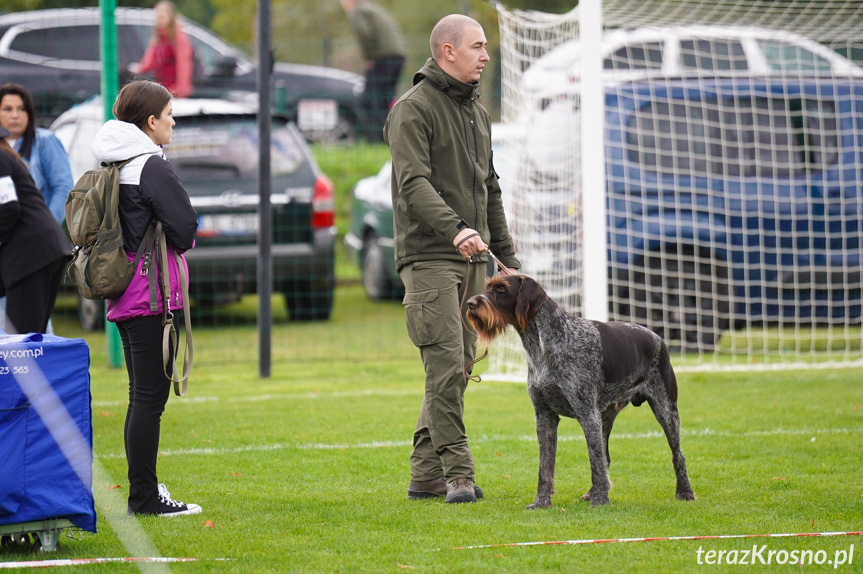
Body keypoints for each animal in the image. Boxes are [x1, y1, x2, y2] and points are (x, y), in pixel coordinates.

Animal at [466, 276, 696, 510]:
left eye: (502, 288)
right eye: (488, 286)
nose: (470, 303)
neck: (544, 345)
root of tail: (658, 338)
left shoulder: (587, 414)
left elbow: (594, 461)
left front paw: (601, 500)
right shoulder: (544, 416)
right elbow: (545, 467)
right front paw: (541, 502)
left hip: (665, 410)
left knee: (677, 454)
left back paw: (684, 492)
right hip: (605, 416)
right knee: (605, 457)